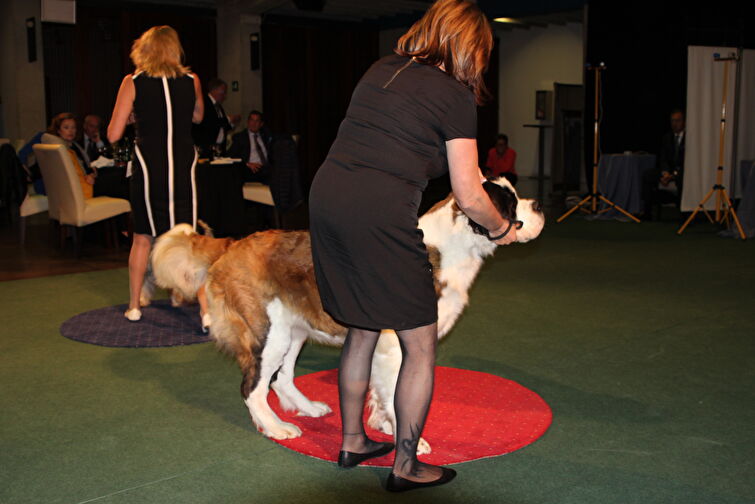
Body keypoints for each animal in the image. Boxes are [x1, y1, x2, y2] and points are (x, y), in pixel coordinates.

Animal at [146, 179, 544, 454]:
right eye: (510, 203)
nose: (538, 203)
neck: (447, 248)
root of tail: (232, 243)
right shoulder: (397, 345)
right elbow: (397, 392)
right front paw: (407, 438)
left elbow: (381, 391)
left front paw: (382, 423)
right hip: (268, 331)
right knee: (253, 387)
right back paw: (276, 427)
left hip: (294, 329)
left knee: (281, 378)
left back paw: (306, 407)